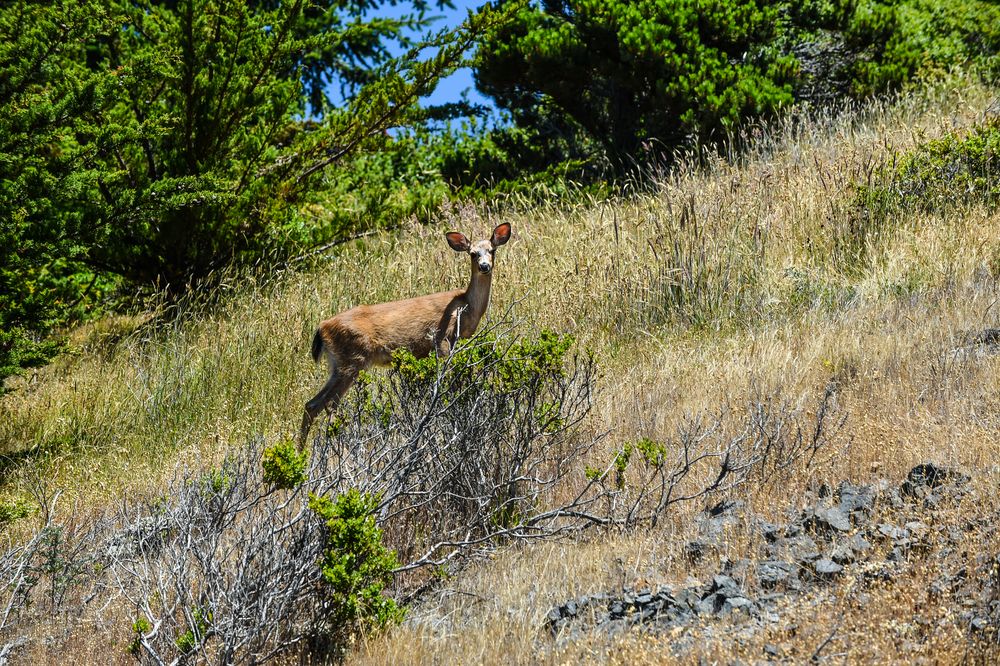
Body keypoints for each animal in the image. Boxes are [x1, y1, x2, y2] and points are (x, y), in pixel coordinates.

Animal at [296, 223, 512, 446]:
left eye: (492, 250)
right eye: (472, 253)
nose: (484, 266)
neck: (466, 307)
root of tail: (322, 327)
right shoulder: (443, 341)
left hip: (337, 364)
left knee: (311, 404)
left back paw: (302, 449)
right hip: (352, 360)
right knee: (330, 404)